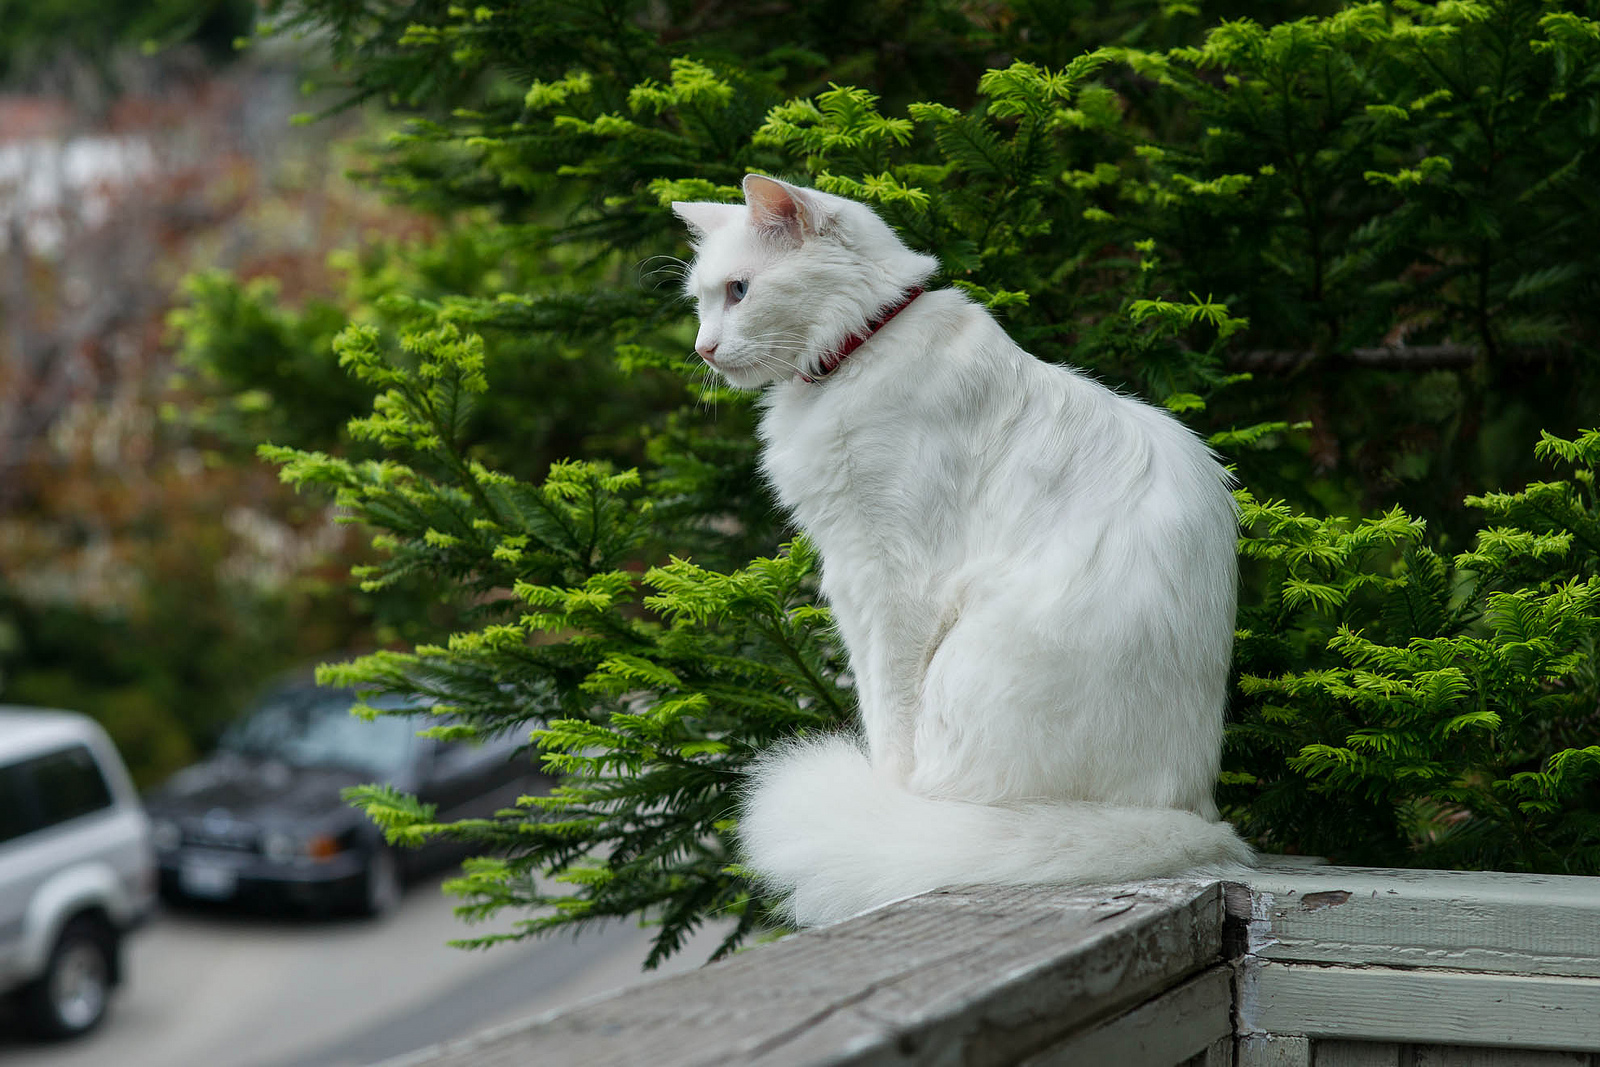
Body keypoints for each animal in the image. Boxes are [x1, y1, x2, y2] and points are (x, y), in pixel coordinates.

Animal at [668, 175, 1254, 927]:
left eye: (739, 291)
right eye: (703, 301)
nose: (705, 348)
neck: (862, 349)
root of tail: (1194, 814)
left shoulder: (891, 585)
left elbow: (890, 722)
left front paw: (883, 805)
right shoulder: (850, 580)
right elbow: (873, 706)